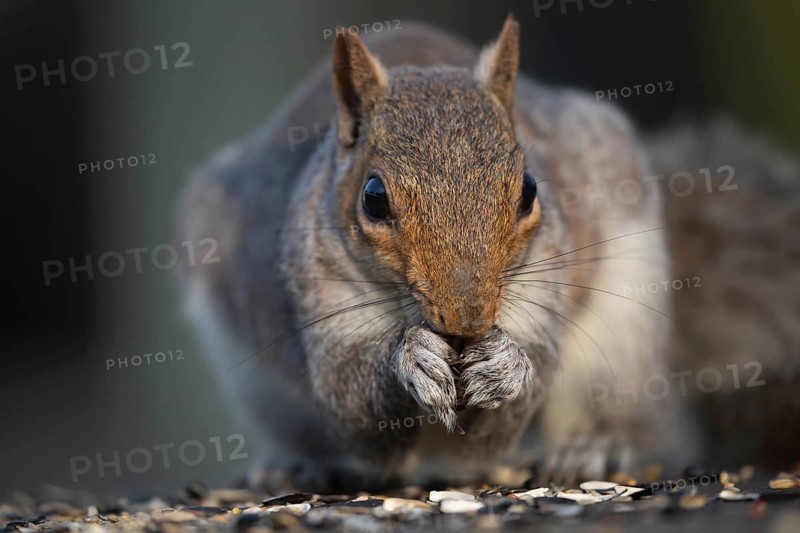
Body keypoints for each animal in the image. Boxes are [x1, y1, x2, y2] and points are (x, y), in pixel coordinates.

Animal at [178, 16, 800, 490]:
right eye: (373, 198)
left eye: (528, 189)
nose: (468, 320)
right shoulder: (319, 295)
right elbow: (353, 408)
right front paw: (410, 360)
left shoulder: (544, 288)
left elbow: (494, 431)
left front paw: (505, 366)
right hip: (263, 385)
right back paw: (299, 465)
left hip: (623, 322)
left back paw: (594, 446)